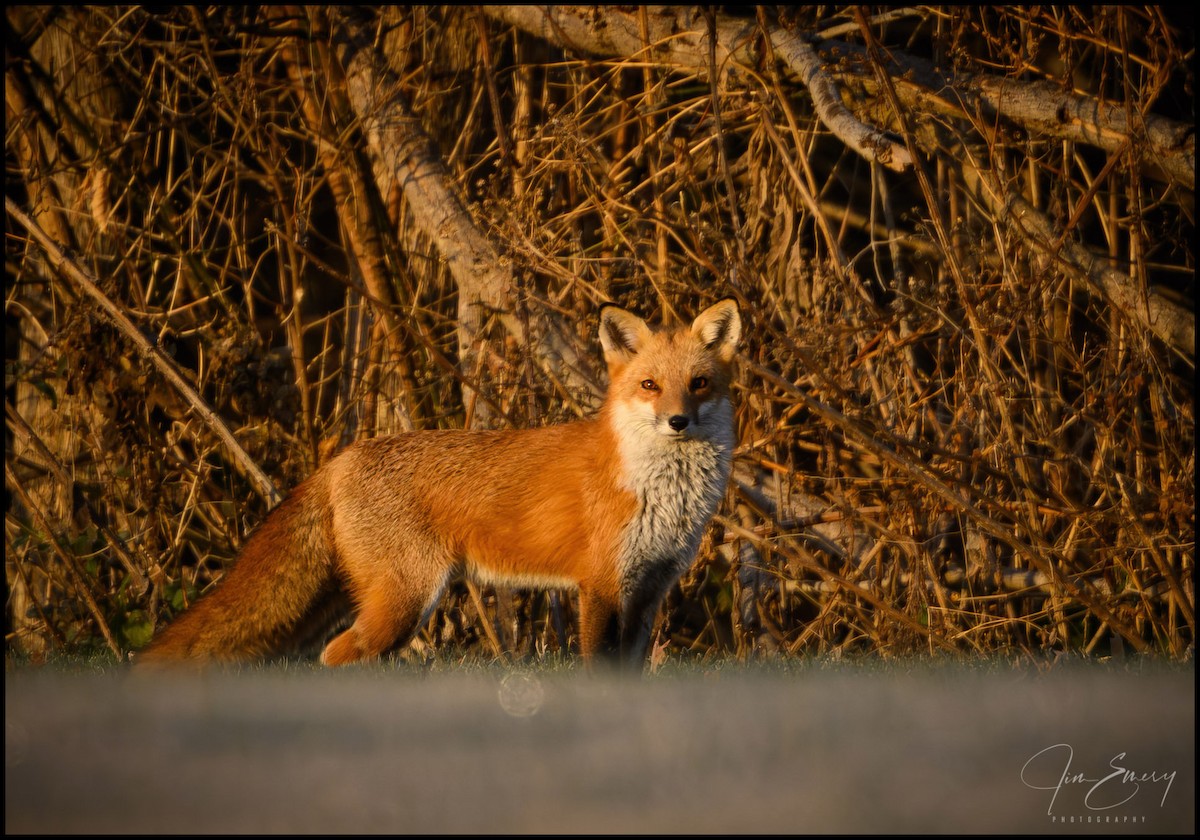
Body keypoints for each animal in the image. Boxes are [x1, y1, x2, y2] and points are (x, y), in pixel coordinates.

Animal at [137, 298, 741, 669]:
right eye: (649, 385)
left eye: (698, 384)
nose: (678, 421)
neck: (661, 493)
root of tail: (342, 457)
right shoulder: (600, 586)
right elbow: (599, 668)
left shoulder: (648, 591)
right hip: (406, 596)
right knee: (338, 656)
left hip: (352, 601)